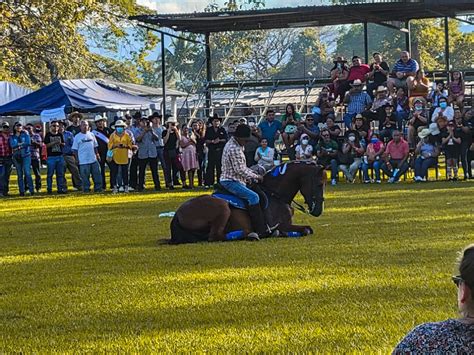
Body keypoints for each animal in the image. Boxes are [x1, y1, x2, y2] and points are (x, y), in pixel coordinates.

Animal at [168, 162, 326, 243]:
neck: (275, 195)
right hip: (222, 207)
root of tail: (177, 214)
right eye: (319, 184)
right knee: (215, 237)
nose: (318, 210)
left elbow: (307, 229)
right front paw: (277, 233)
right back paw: (249, 234)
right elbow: (306, 229)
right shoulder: (283, 224)